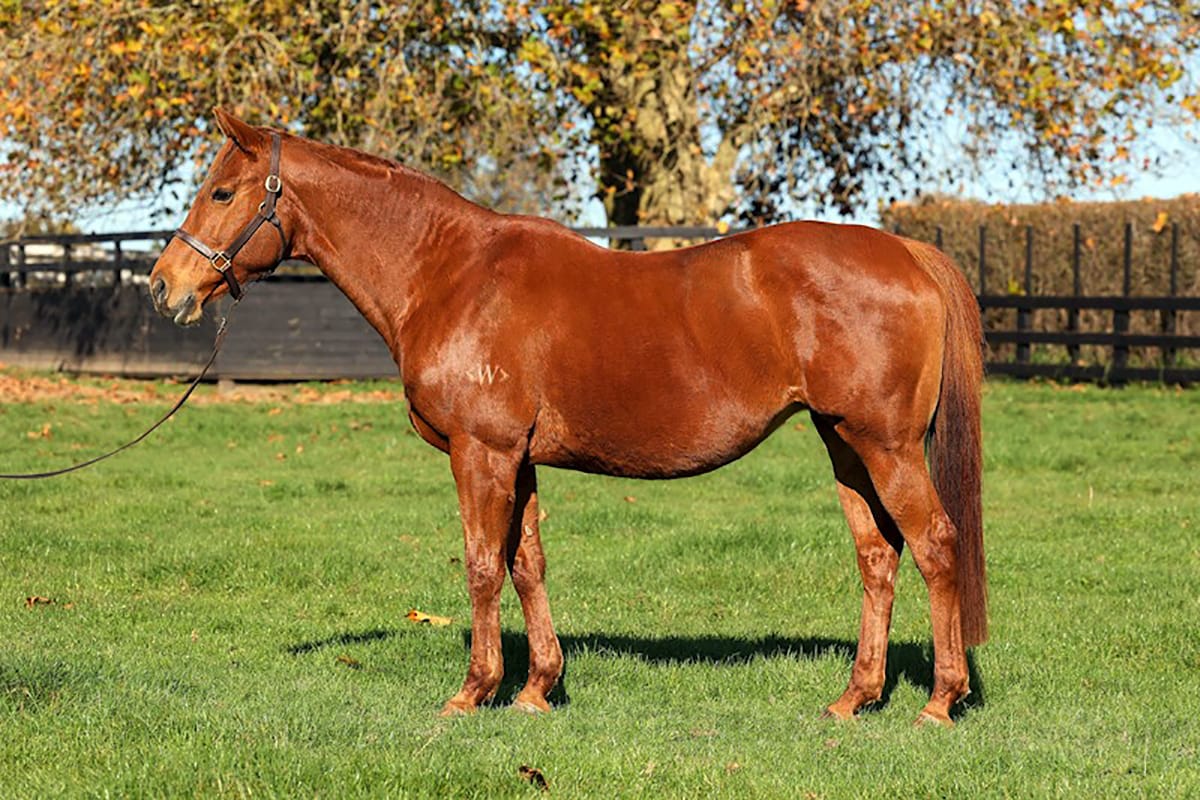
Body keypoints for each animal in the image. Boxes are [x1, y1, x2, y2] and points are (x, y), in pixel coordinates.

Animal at [150, 109, 986, 726]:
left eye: (221, 193)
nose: (164, 286)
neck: (449, 274)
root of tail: (910, 253)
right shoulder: (516, 458)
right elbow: (527, 564)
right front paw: (535, 690)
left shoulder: (481, 451)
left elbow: (482, 566)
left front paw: (473, 691)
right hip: (845, 444)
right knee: (878, 556)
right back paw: (854, 698)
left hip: (887, 446)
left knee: (936, 546)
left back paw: (941, 701)